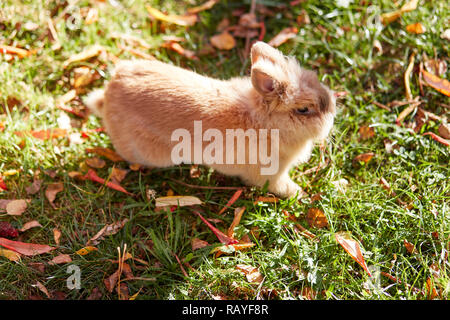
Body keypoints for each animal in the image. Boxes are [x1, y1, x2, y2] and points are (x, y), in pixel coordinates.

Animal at [86, 40, 336, 198]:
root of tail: (107, 98)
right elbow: (280, 185)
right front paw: (299, 193)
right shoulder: (271, 174)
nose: (332, 114)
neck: (266, 122)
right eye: (303, 109)